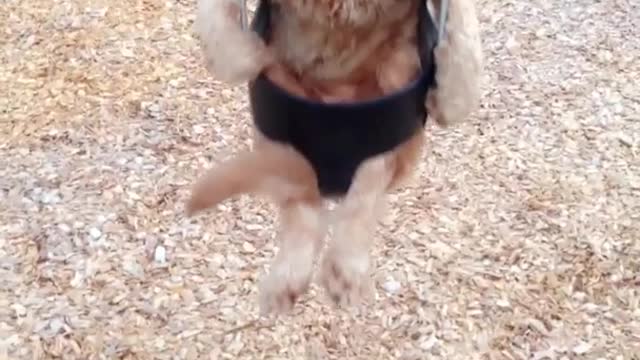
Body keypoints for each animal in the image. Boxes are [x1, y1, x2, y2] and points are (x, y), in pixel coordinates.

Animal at [185, 0, 480, 314]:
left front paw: (449, 96)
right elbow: (223, 37)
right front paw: (243, 54)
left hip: (395, 77)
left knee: (363, 188)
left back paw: (344, 268)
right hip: (283, 106)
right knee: (301, 203)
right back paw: (289, 277)